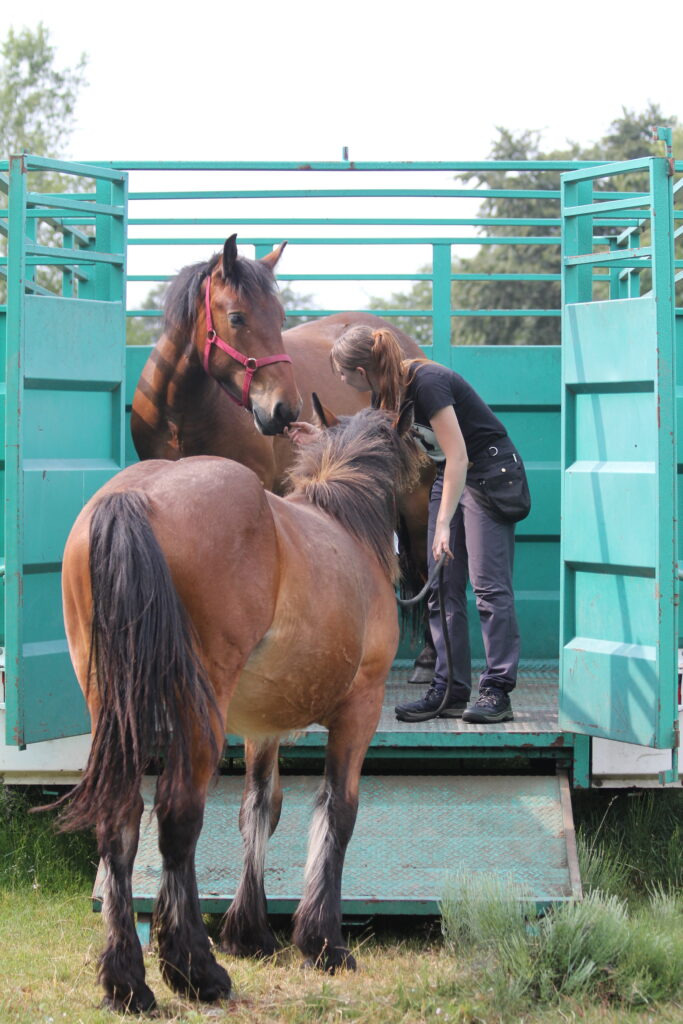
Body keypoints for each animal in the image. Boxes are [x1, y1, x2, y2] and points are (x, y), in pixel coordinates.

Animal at [54, 404, 421, 1012]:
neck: (345, 529)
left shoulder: (261, 726)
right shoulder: (360, 708)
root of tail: (134, 497)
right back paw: (196, 970)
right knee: (178, 817)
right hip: (200, 711)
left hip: (110, 705)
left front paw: (251, 932)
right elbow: (337, 810)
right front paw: (323, 942)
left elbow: (260, 808)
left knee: (121, 818)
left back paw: (127, 981)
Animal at [131, 236, 436, 668]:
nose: (286, 409)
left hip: (417, 503)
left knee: (428, 568)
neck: (182, 412)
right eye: (237, 318)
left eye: (280, 318)